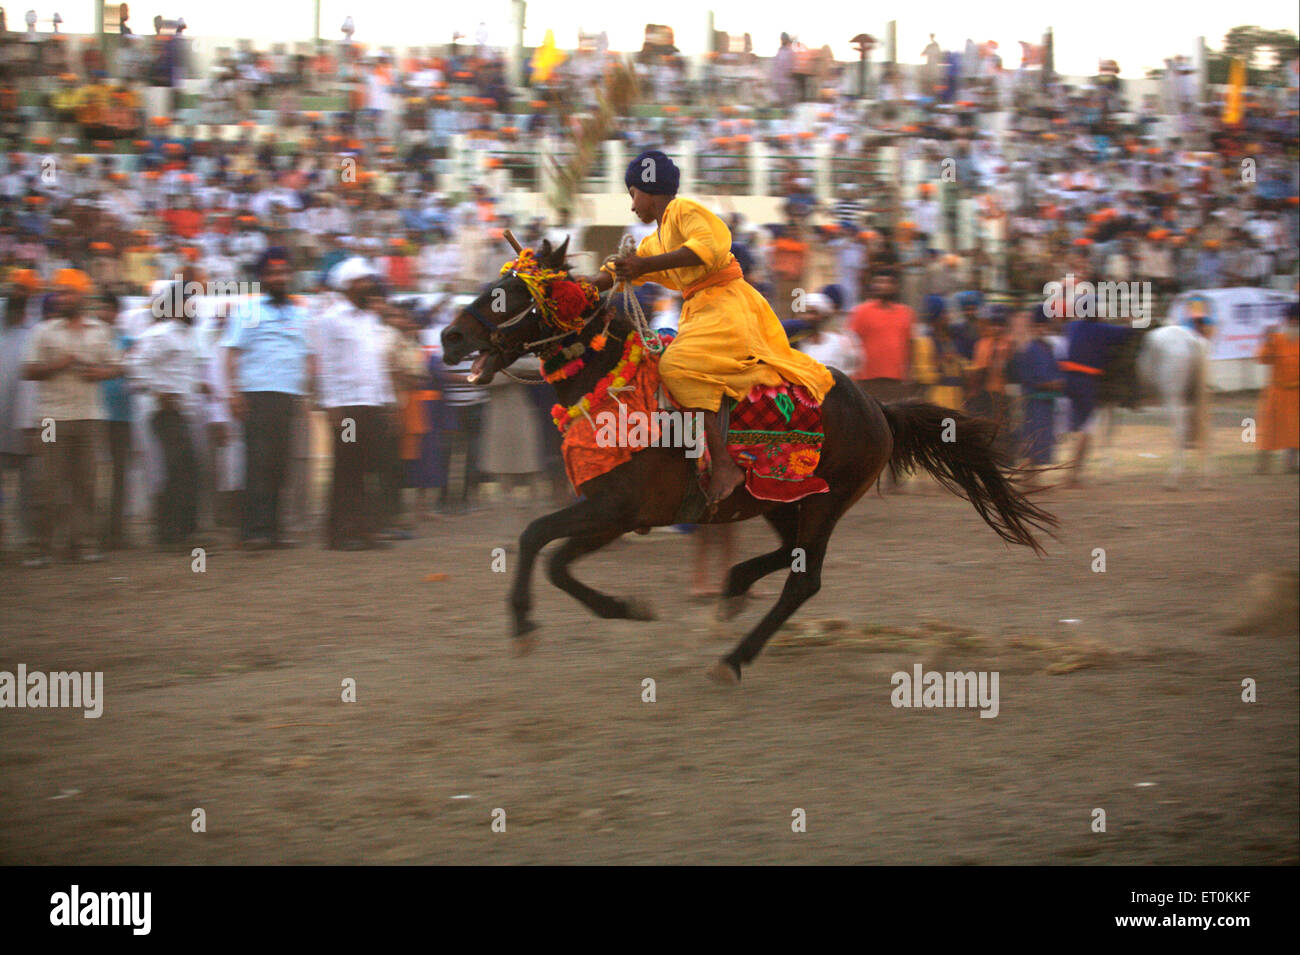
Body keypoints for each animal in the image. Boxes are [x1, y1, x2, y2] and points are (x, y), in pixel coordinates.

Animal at [439, 239, 1055, 686]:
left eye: (507, 291)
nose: (448, 337)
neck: (613, 387)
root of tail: (878, 406)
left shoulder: (618, 510)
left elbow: (539, 544)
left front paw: (535, 622)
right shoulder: (610, 515)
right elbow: (549, 555)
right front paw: (613, 609)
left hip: (828, 501)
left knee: (804, 581)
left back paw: (733, 658)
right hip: (781, 500)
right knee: (787, 555)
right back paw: (731, 592)